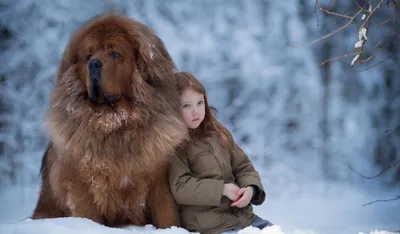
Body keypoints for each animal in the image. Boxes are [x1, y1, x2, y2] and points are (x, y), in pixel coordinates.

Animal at [31, 13, 188, 229]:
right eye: (88, 56)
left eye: (115, 54)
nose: (94, 64)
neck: (114, 123)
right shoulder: (81, 187)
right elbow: (87, 216)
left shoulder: (160, 181)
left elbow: (167, 215)